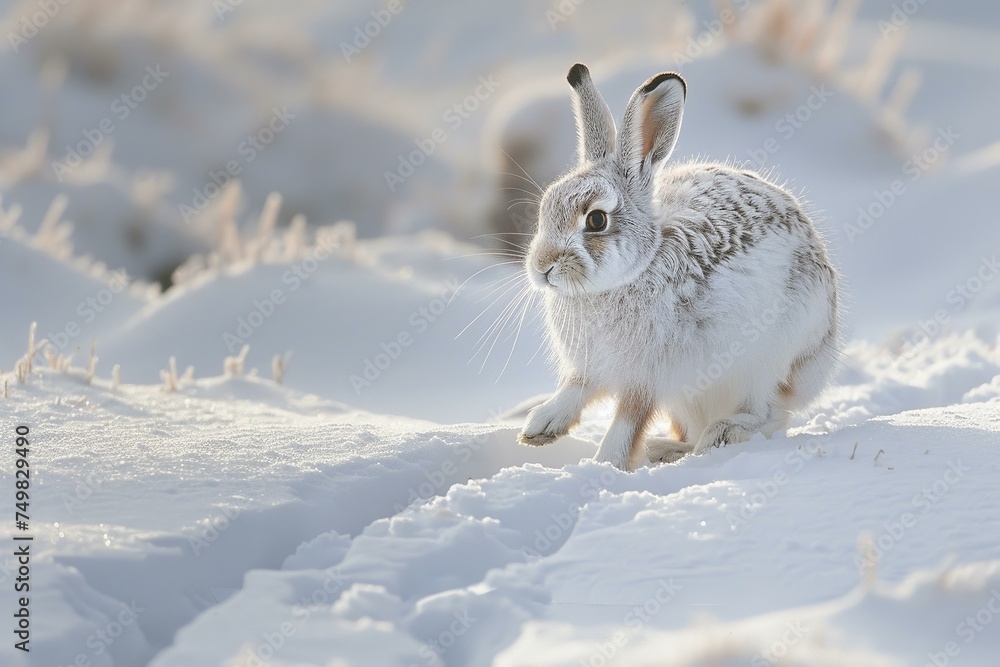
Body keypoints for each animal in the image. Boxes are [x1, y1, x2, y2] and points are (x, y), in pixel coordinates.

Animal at [517, 64, 840, 471]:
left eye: (596, 220)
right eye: (546, 208)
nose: (542, 267)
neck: (633, 272)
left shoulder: (648, 373)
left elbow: (628, 419)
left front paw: (606, 464)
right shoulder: (591, 367)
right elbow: (575, 390)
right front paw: (541, 426)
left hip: (766, 361)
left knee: (767, 415)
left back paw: (720, 435)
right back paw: (665, 449)